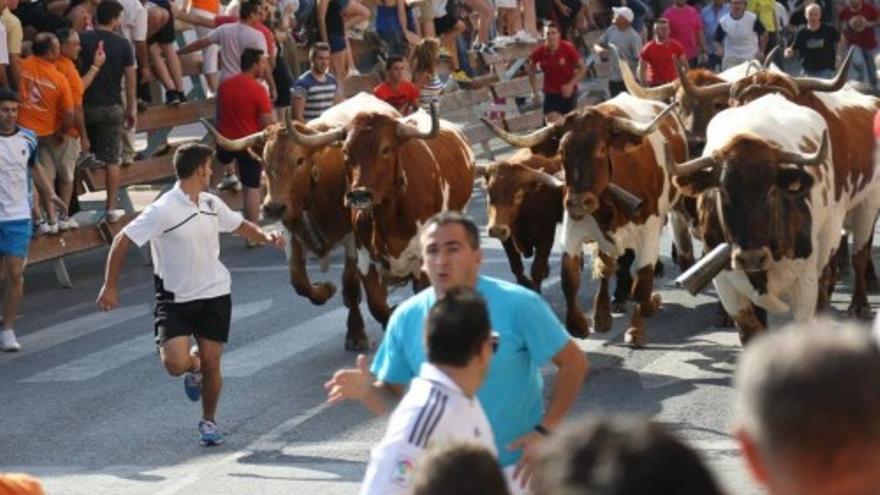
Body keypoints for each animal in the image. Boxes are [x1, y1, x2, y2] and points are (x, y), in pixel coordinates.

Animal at [203, 92, 398, 348]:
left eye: (299, 160)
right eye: (264, 162)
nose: (273, 207)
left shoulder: (352, 238)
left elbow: (351, 284)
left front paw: (356, 332)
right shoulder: (292, 233)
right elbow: (299, 281)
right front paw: (324, 289)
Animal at [286, 104, 474, 314]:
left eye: (386, 149)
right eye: (345, 151)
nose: (359, 194)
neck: (388, 217)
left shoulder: (423, 263)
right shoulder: (366, 261)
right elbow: (378, 307)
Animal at [482, 149, 564, 292]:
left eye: (518, 195)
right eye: (489, 192)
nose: (497, 229)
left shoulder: (547, 235)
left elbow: (536, 269)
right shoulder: (507, 238)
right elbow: (516, 266)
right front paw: (525, 283)